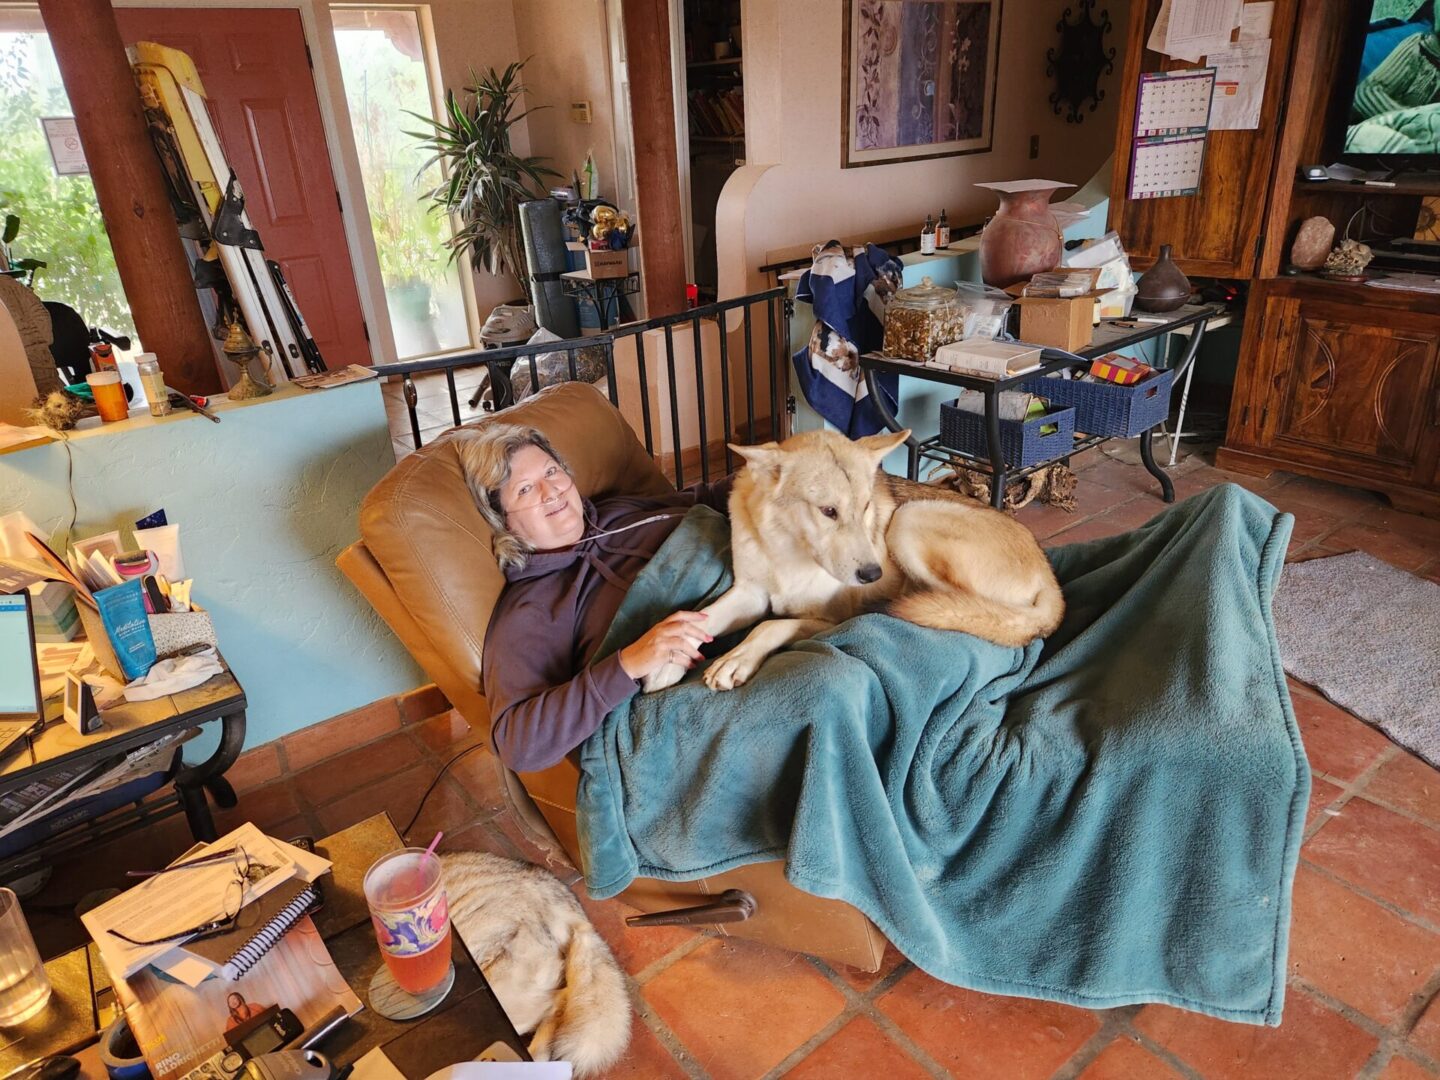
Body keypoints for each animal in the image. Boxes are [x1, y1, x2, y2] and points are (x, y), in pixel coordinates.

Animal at [648, 429, 1065, 694]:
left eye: (865, 507)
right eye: (828, 511)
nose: (873, 574)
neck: (787, 550)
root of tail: (1052, 581)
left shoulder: (827, 619)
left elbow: (768, 626)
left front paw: (734, 659)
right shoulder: (749, 593)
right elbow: (703, 618)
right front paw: (667, 659)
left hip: (909, 520)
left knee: (958, 607)